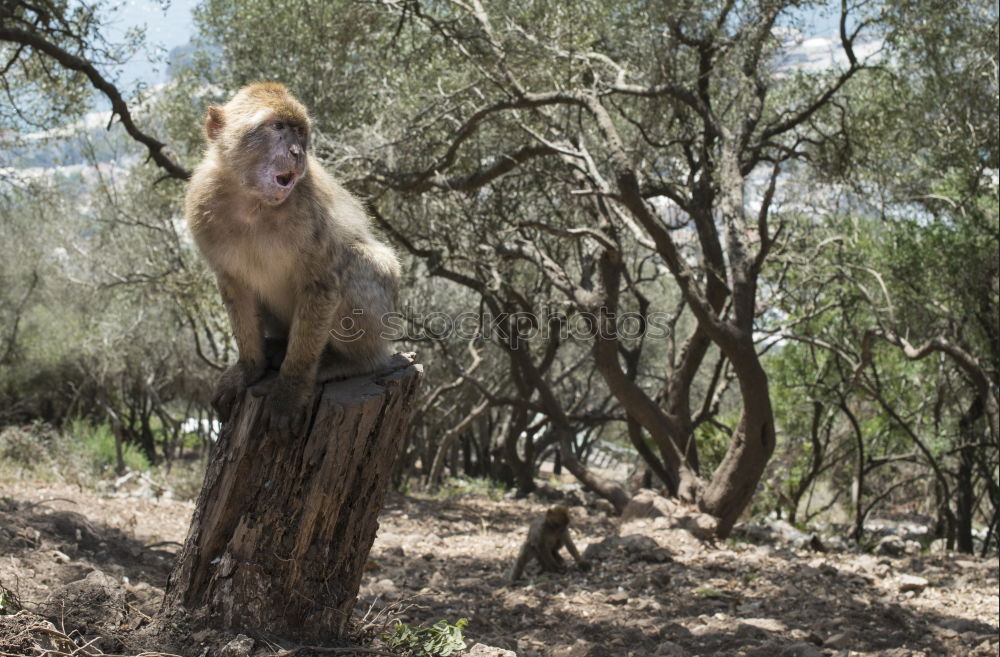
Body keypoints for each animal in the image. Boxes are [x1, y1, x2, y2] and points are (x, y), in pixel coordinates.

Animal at [186, 83, 396, 440]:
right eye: (278, 127)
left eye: (300, 132)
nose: (298, 152)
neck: (253, 202)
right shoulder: (201, 207)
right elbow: (235, 288)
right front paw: (249, 369)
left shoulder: (311, 214)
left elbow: (323, 281)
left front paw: (290, 389)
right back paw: (276, 348)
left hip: (384, 314)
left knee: (354, 262)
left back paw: (351, 362)